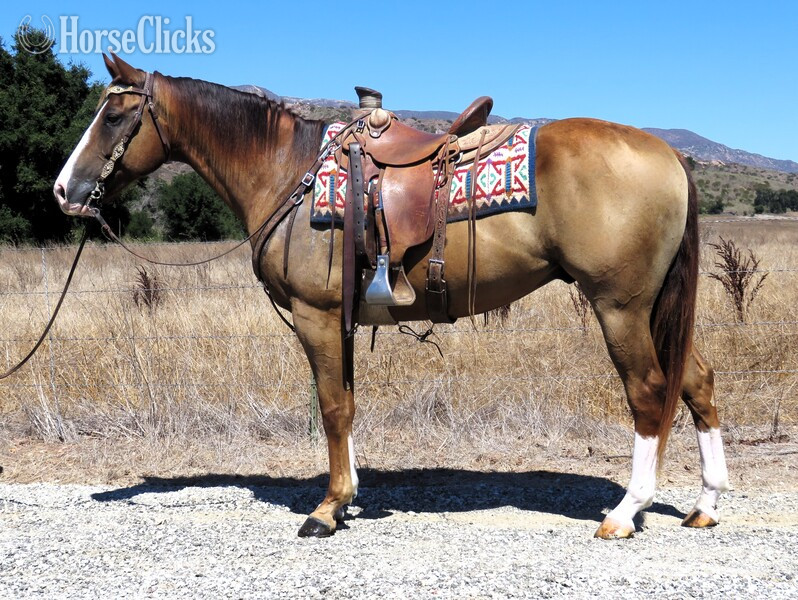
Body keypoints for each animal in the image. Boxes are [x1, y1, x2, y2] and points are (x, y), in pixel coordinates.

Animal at [53, 53, 729, 539]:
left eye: (113, 117)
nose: (64, 190)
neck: (289, 171)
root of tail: (670, 154)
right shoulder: (341, 320)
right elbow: (347, 405)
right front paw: (348, 496)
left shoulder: (317, 317)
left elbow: (331, 408)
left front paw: (326, 510)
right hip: (652, 308)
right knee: (696, 381)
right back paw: (705, 504)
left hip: (620, 307)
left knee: (649, 391)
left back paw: (625, 512)